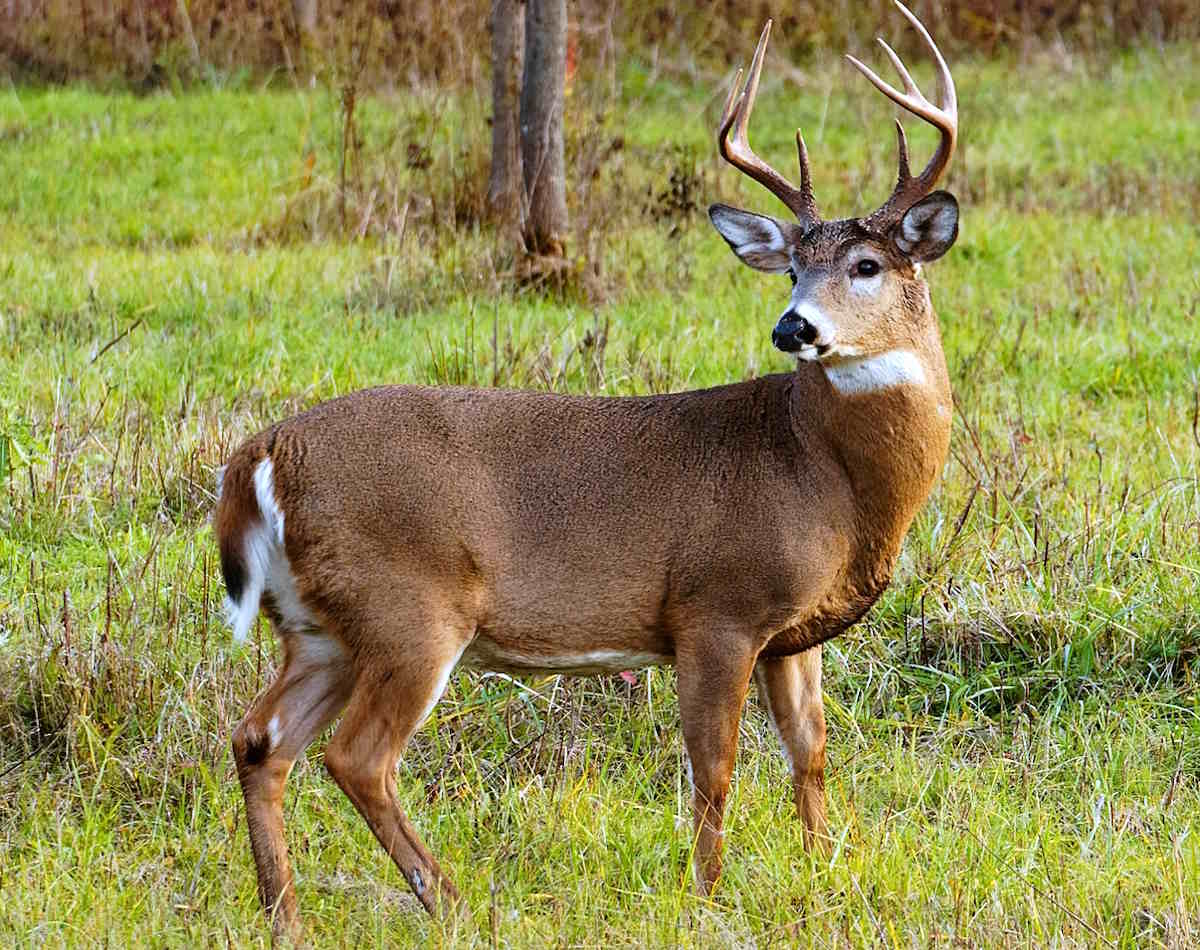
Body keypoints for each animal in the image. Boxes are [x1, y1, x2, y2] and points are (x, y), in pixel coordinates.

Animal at [216, 0, 960, 935]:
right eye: (792, 267)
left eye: (866, 265)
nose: (794, 327)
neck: (827, 476)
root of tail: (263, 455)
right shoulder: (716, 608)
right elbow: (714, 768)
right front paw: (704, 898)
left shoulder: (793, 633)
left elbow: (810, 753)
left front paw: (826, 871)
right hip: (408, 609)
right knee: (356, 757)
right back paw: (453, 902)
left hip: (321, 628)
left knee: (259, 740)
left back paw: (284, 915)